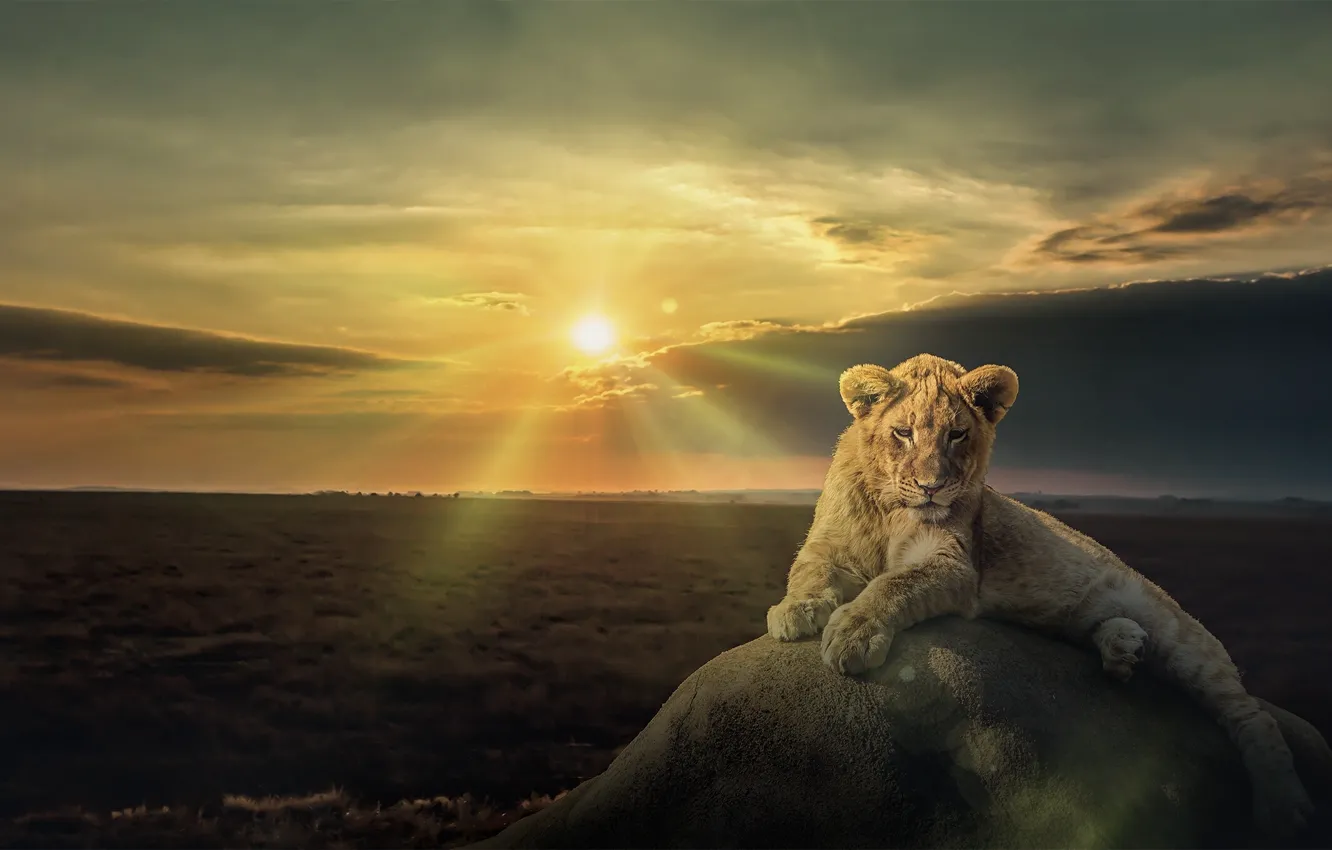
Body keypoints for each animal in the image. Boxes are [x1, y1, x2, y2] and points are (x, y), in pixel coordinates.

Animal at [766, 353, 1314, 837]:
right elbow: (807, 572)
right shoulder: (826, 544)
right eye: (903, 433)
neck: (888, 507)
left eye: (957, 434)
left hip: (1185, 638)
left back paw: (1285, 806)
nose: (931, 487)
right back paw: (1123, 649)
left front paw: (853, 632)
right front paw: (795, 611)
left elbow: (892, 583)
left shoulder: (955, 563)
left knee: (1254, 717)